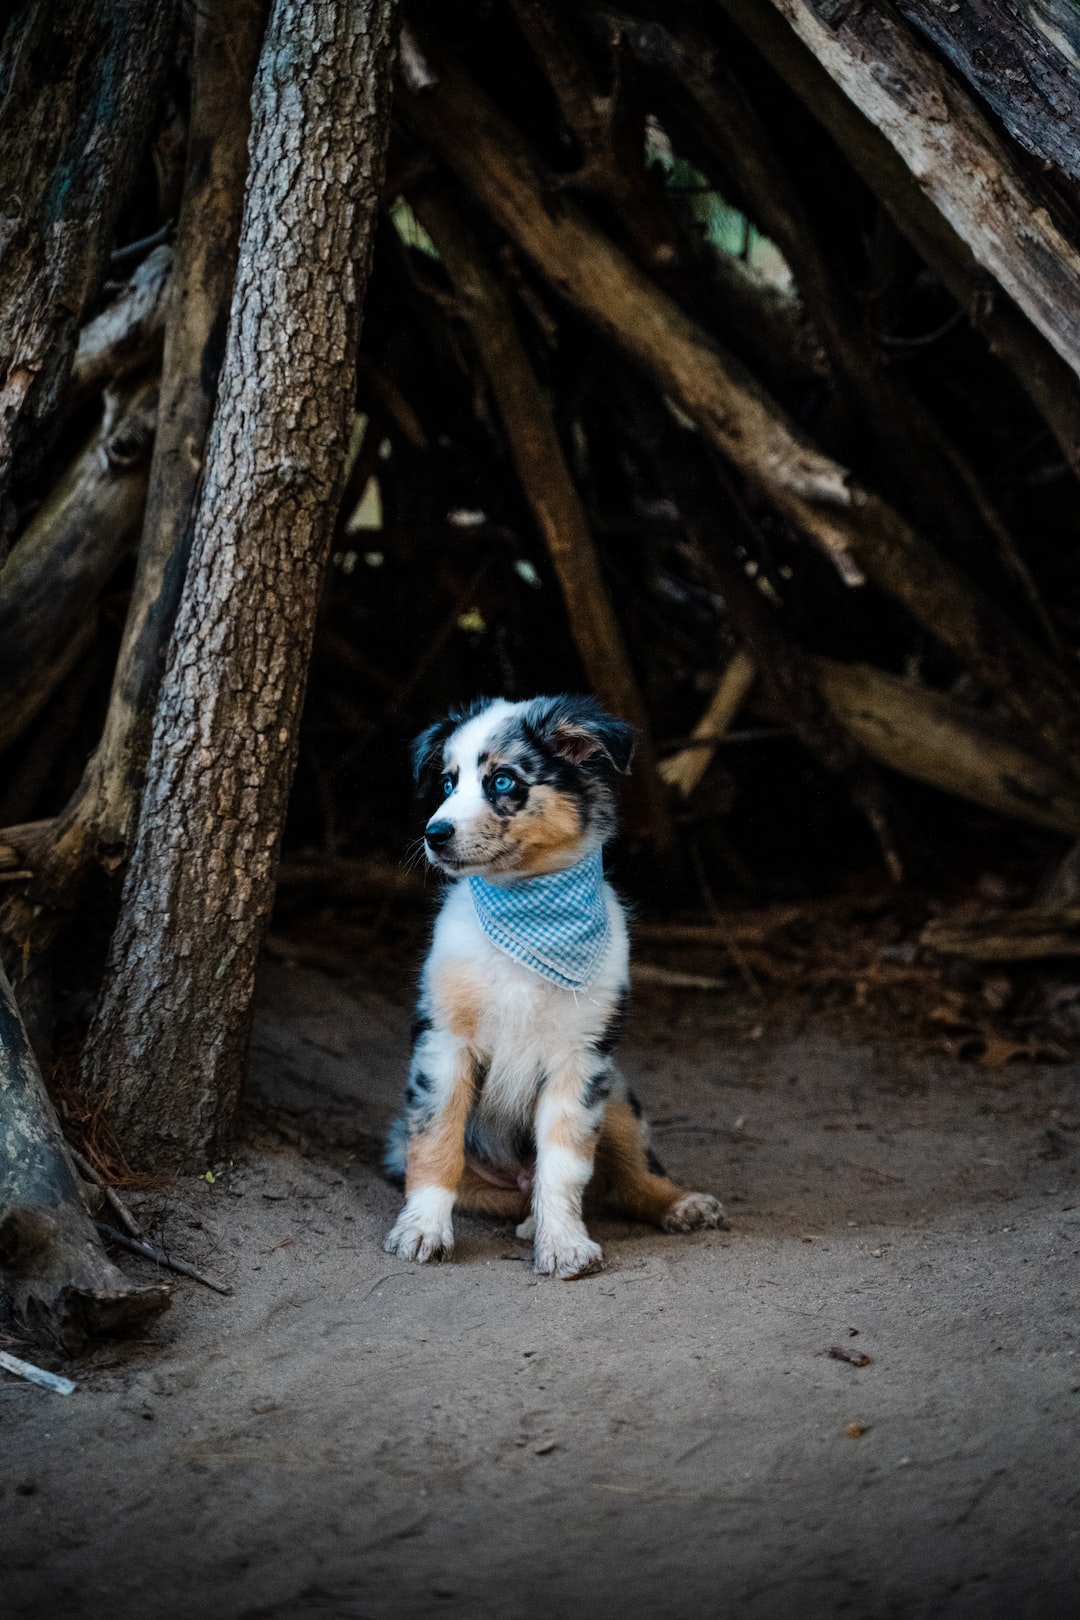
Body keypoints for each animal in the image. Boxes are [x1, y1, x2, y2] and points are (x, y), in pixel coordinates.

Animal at [383, 696, 731, 1276]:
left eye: (502, 781)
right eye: (448, 782)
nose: (435, 834)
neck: (529, 911)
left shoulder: (580, 1057)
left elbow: (565, 1164)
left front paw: (564, 1243)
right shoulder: (445, 1044)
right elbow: (435, 1145)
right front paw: (422, 1230)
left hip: (618, 1097)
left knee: (629, 1177)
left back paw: (680, 1203)